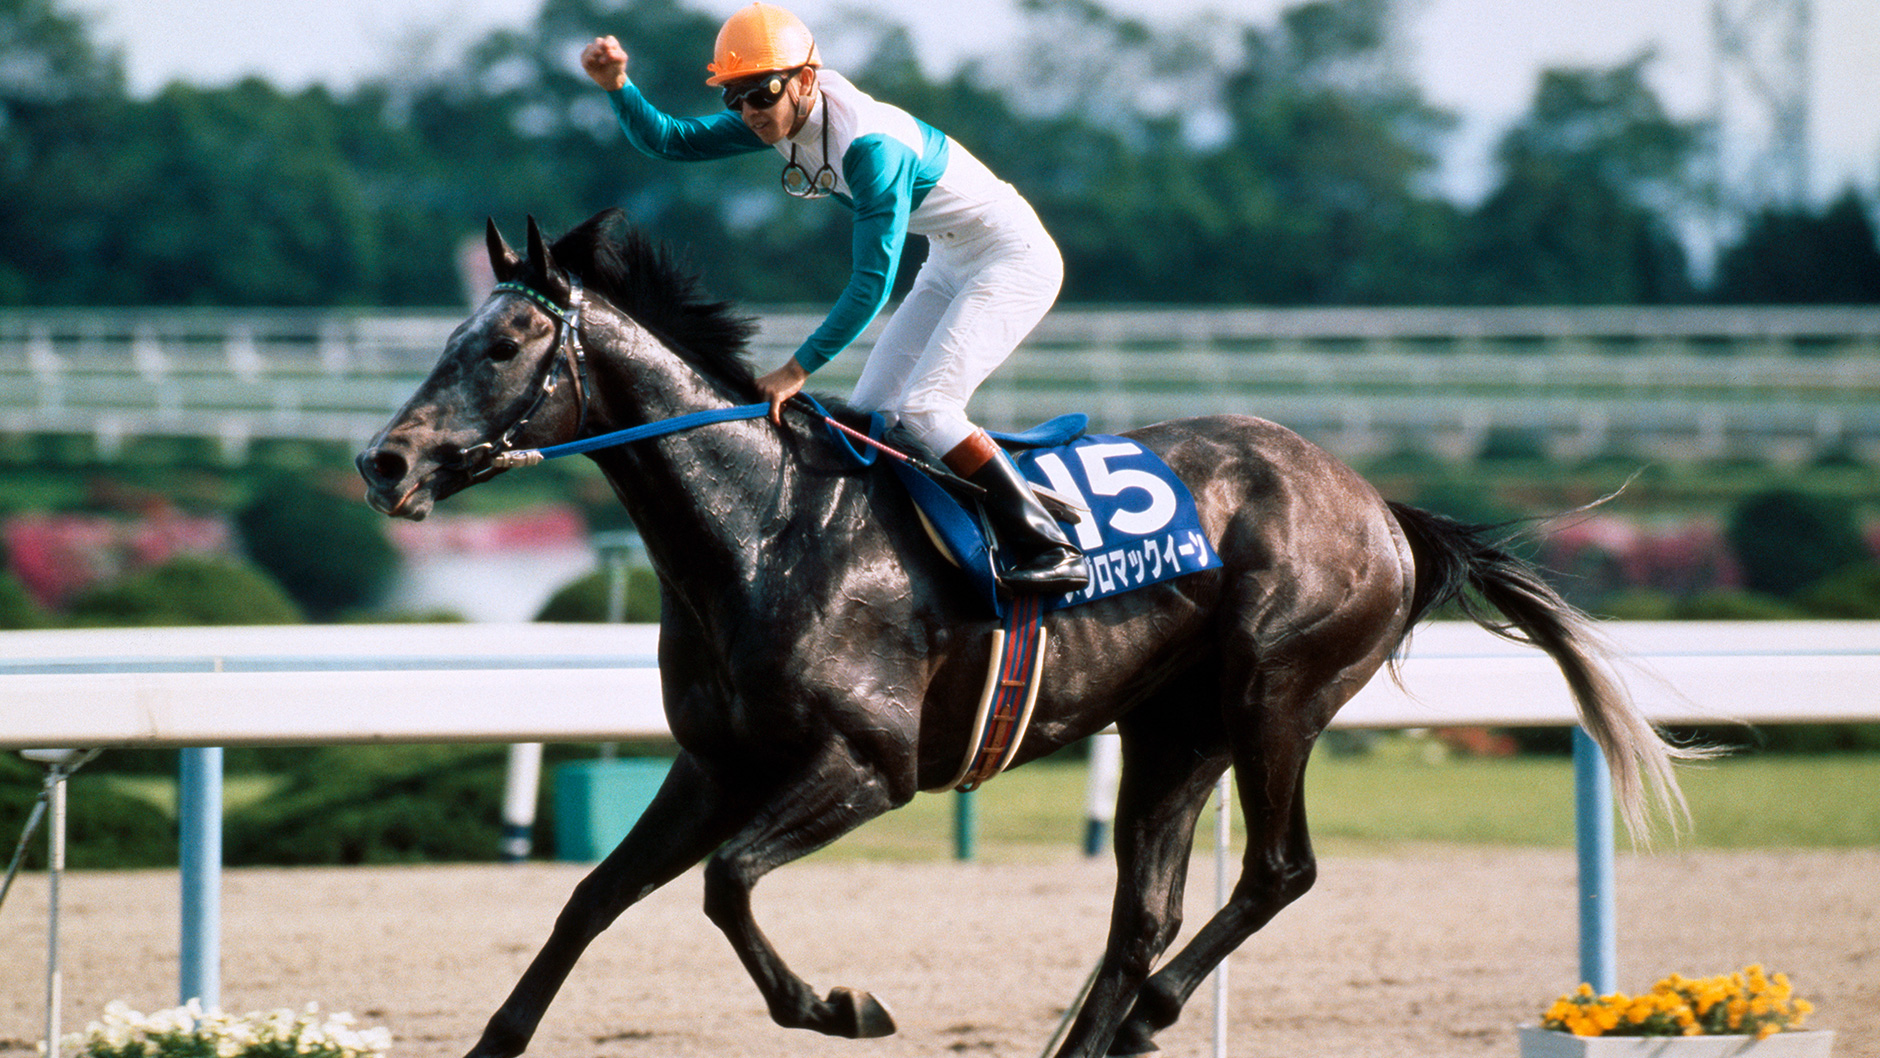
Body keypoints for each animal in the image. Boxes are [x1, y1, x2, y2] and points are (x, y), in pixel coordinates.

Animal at [356, 208, 1698, 1058]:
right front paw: (496, 1037)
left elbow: (727, 884)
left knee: (1274, 872)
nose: (385, 461)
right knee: (1142, 912)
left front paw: (843, 1004)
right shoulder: (714, 763)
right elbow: (590, 895)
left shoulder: (871, 765)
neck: (763, 530)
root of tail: (1379, 504)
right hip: (1172, 729)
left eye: (506, 341)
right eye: (451, 335)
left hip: (1276, 693)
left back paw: (1149, 1015)